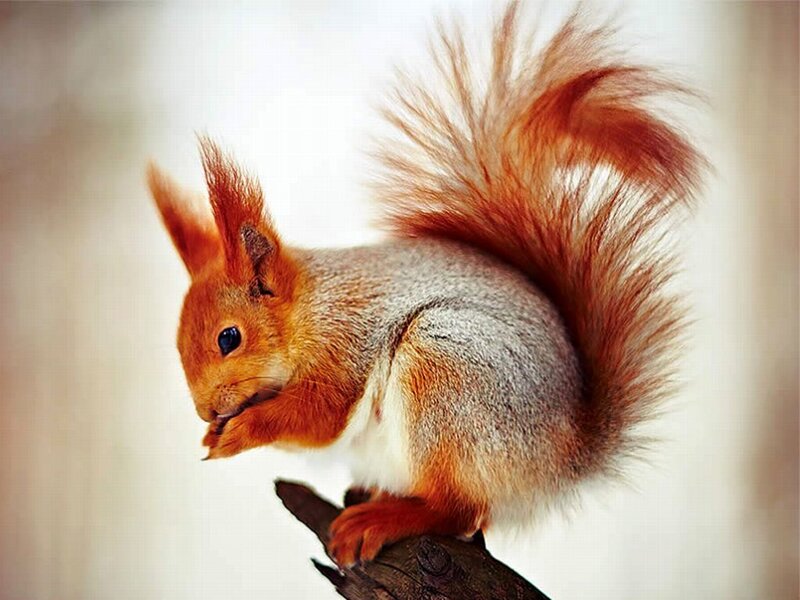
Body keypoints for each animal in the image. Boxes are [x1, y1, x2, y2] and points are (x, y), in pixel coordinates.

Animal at [148, 2, 704, 567]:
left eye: (229, 338)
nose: (205, 409)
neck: (310, 311)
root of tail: (561, 462)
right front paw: (212, 433)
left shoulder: (344, 347)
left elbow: (318, 418)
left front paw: (239, 432)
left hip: (447, 370)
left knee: (460, 512)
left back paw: (385, 519)